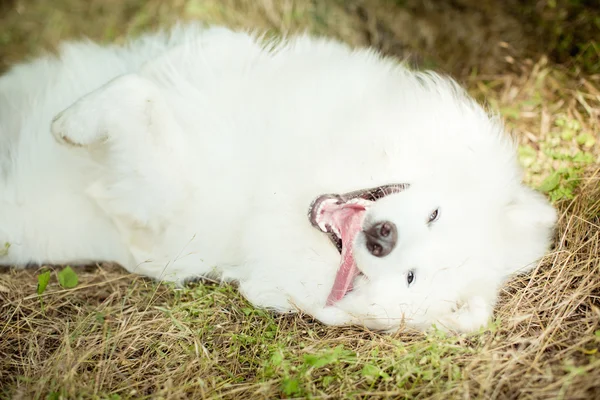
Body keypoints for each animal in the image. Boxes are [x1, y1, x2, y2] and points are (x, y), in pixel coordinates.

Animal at [0, 23, 556, 332]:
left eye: (411, 278)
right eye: (435, 213)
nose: (382, 237)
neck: (273, 188)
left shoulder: (159, 205)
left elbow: (139, 100)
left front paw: (66, 126)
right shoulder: (226, 59)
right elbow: (153, 72)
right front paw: (74, 116)